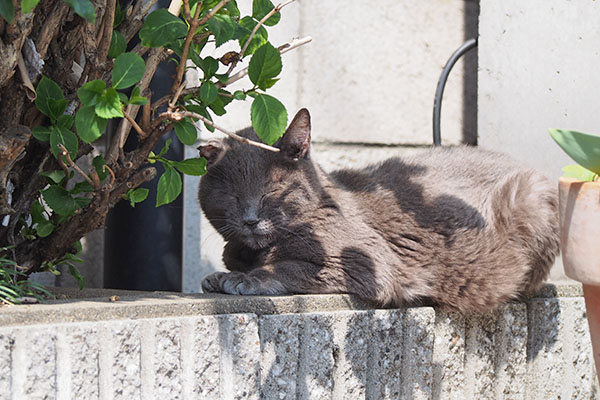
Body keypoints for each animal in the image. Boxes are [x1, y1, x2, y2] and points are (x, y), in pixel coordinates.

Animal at [199, 109, 560, 312]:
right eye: (231, 195)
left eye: (272, 190)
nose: (250, 219)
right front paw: (223, 274)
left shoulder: (365, 262)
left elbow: (287, 267)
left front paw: (239, 279)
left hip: (531, 198)